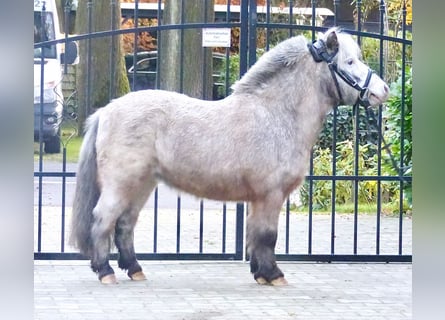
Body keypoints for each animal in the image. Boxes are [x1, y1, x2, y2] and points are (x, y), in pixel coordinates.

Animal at [71, 28, 386, 284]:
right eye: (349, 62)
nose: (382, 90)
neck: (276, 114)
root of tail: (105, 111)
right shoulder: (271, 195)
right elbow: (267, 235)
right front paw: (274, 275)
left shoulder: (259, 199)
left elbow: (255, 235)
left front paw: (260, 273)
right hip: (121, 184)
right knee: (103, 219)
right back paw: (105, 271)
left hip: (142, 184)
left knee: (125, 224)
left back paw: (135, 269)